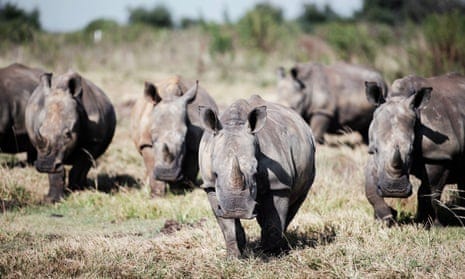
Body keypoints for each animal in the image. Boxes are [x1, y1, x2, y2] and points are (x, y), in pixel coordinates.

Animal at [25, 71, 116, 202]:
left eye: (68, 134)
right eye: (40, 131)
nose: (45, 166)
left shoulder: (94, 142)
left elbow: (80, 165)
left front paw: (77, 192)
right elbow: (56, 171)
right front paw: (51, 200)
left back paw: (84, 187)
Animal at [198, 95, 318, 258]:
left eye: (255, 171)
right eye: (215, 173)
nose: (237, 211)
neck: (235, 123)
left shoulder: (278, 185)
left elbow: (273, 221)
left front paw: (270, 255)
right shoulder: (210, 185)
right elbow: (227, 225)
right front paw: (234, 256)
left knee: (295, 202)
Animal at [364, 72, 464, 228]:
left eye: (412, 150)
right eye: (376, 149)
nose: (394, 191)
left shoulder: (440, 155)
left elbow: (429, 191)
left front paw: (428, 225)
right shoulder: (374, 155)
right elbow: (369, 185)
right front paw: (386, 217)